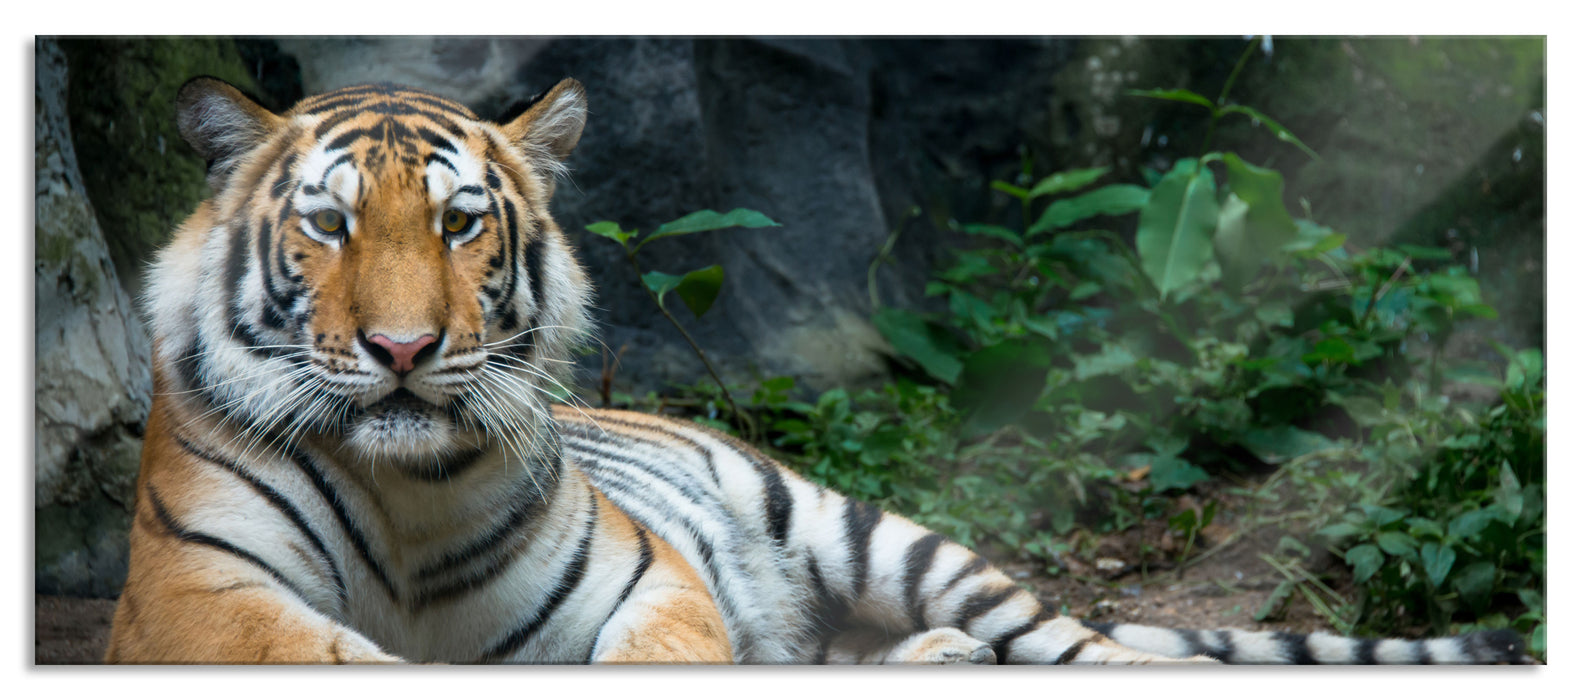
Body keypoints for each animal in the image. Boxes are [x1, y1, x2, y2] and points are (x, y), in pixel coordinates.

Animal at [103, 76, 1526, 665]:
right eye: (330, 224)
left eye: (458, 224)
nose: (404, 351)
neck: (405, 496)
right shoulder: (198, 602)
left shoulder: (646, 583)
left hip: (875, 534)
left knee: (1100, 651)